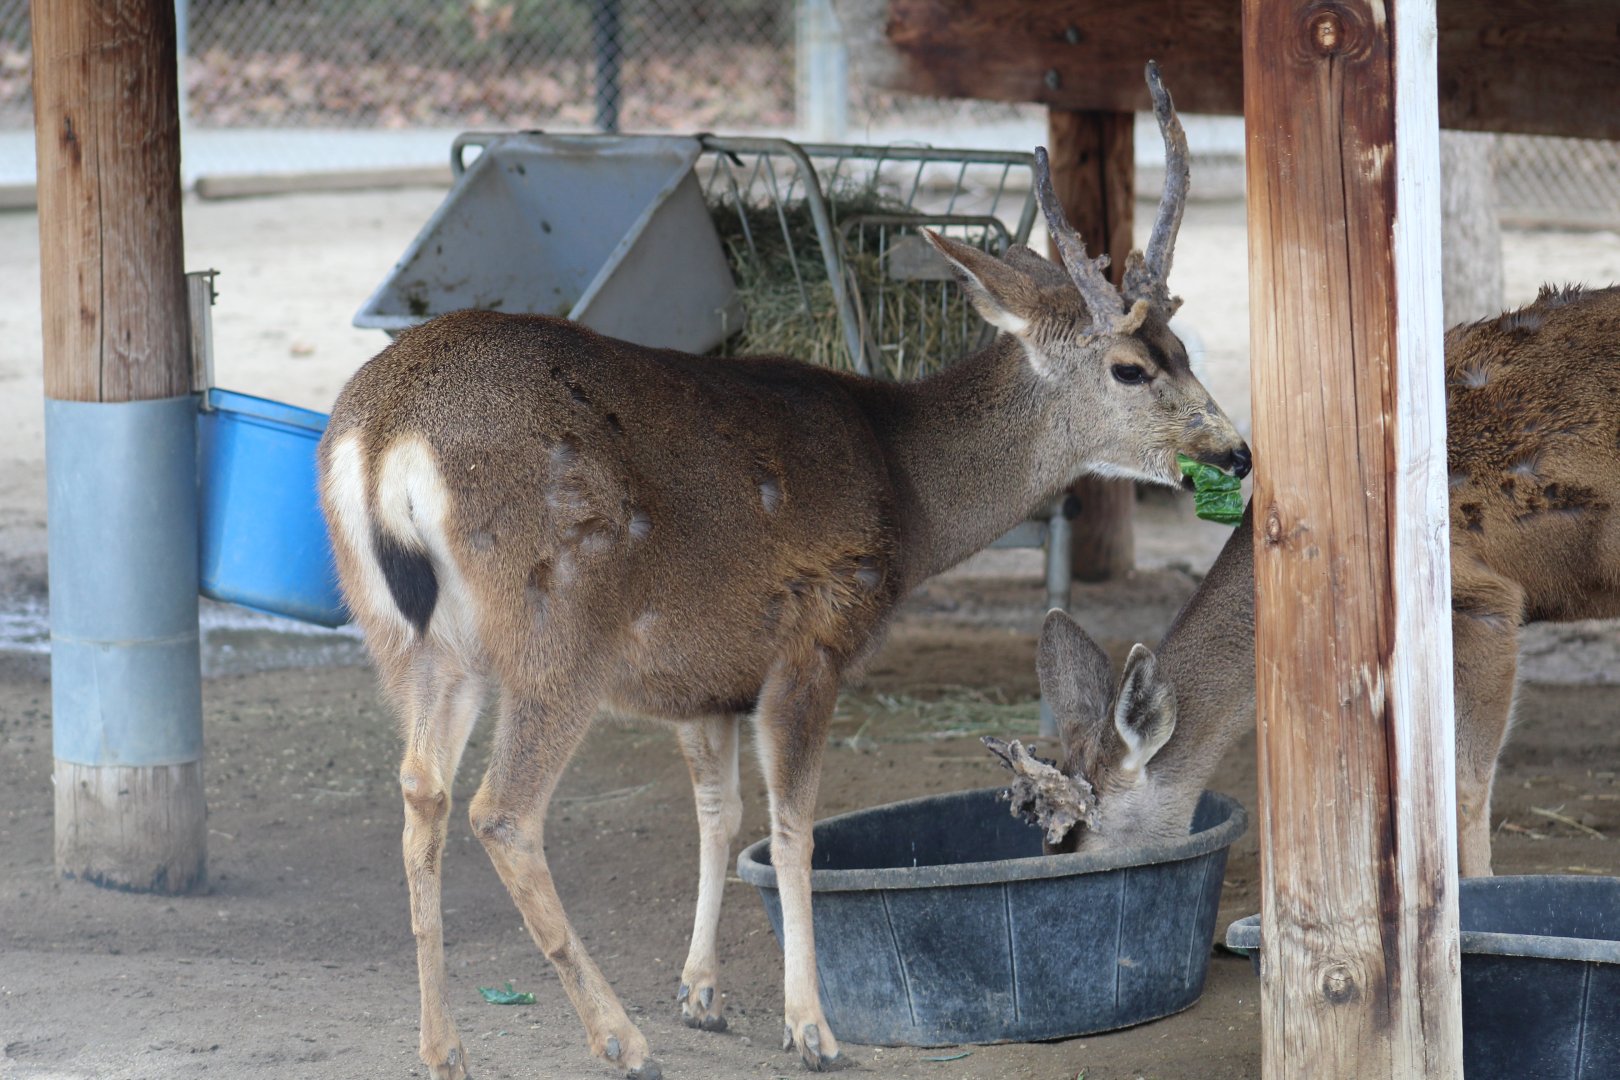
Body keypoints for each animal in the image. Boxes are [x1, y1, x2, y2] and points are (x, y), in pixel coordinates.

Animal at [316, 62, 1246, 1080]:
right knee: (501, 812)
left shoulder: (702, 676)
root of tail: (383, 438)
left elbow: (719, 816)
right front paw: (810, 1027)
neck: (907, 489)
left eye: (1184, 349)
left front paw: (703, 994)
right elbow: (793, 832)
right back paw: (619, 1038)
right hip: (557, 627)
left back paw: (442, 1046)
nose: (1236, 454)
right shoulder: (815, 633)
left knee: (421, 791)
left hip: (412, 642)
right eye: (1129, 368)